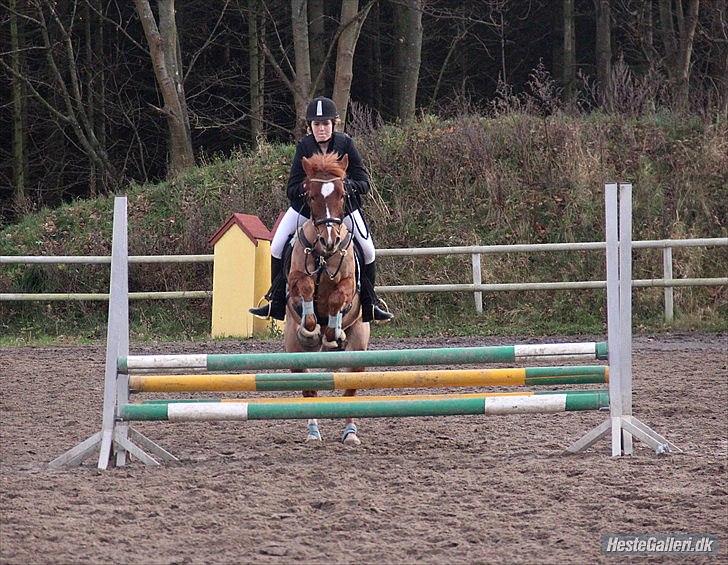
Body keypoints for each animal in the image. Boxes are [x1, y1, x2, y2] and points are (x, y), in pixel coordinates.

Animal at [286, 150, 372, 446]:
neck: (324, 254)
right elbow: (306, 292)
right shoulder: (296, 278)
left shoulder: (348, 285)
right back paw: (313, 432)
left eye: (343, 195)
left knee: (351, 390)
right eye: (311, 196)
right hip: (294, 353)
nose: (330, 241)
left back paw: (350, 433)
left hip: (359, 351)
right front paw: (311, 332)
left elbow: (337, 300)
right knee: (308, 390)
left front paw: (335, 334)